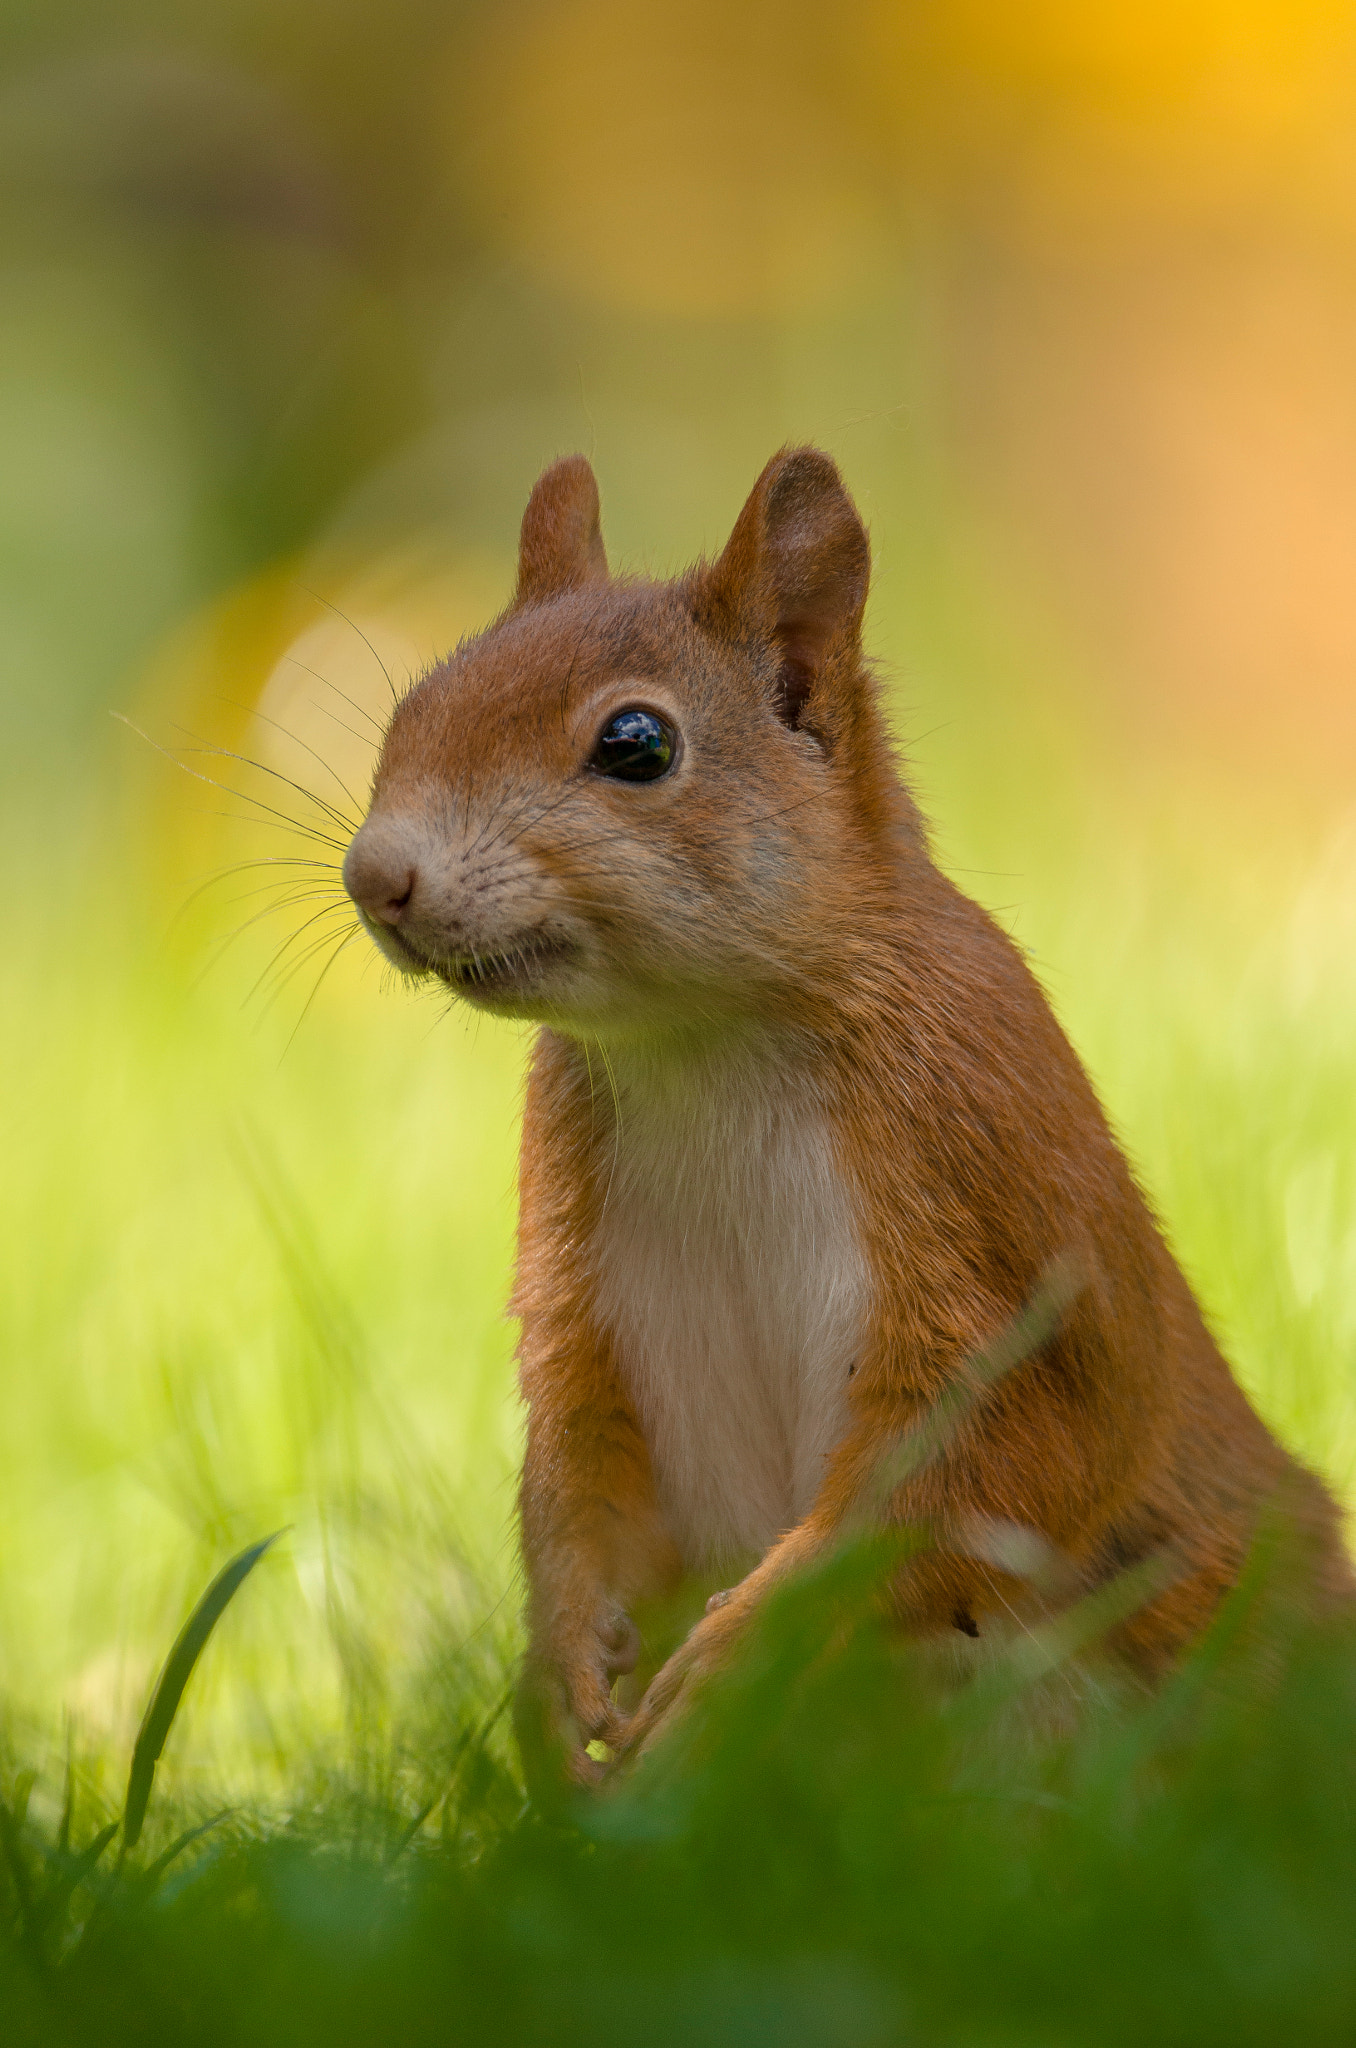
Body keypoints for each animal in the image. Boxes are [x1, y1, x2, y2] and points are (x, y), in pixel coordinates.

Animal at [341, 446, 1353, 1775]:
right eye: (412, 708)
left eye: (635, 744)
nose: (375, 876)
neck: (701, 1045)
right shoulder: (578, 1288)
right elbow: (577, 1457)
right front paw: (555, 1668)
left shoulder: (985, 1166)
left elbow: (998, 1459)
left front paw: (740, 1649)